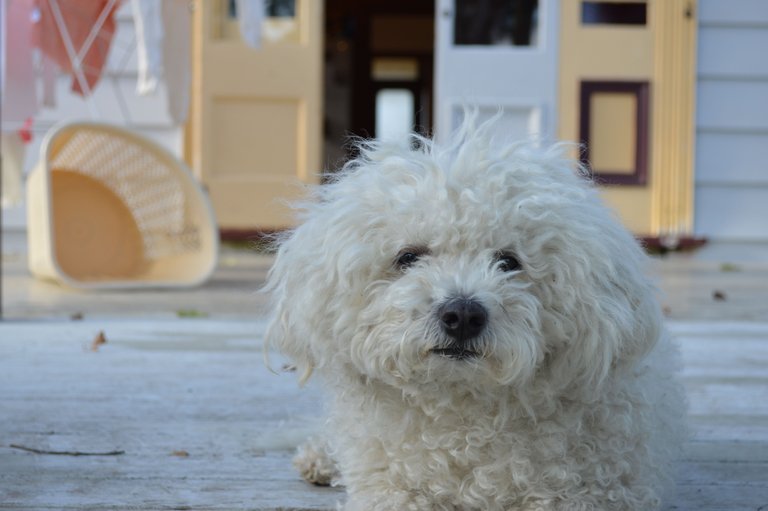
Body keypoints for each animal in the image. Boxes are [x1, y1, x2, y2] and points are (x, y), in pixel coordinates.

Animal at [264, 117, 684, 511]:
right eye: (408, 257)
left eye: (509, 262)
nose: (462, 315)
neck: (465, 425)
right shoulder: (392, 490)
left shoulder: (587, 490)